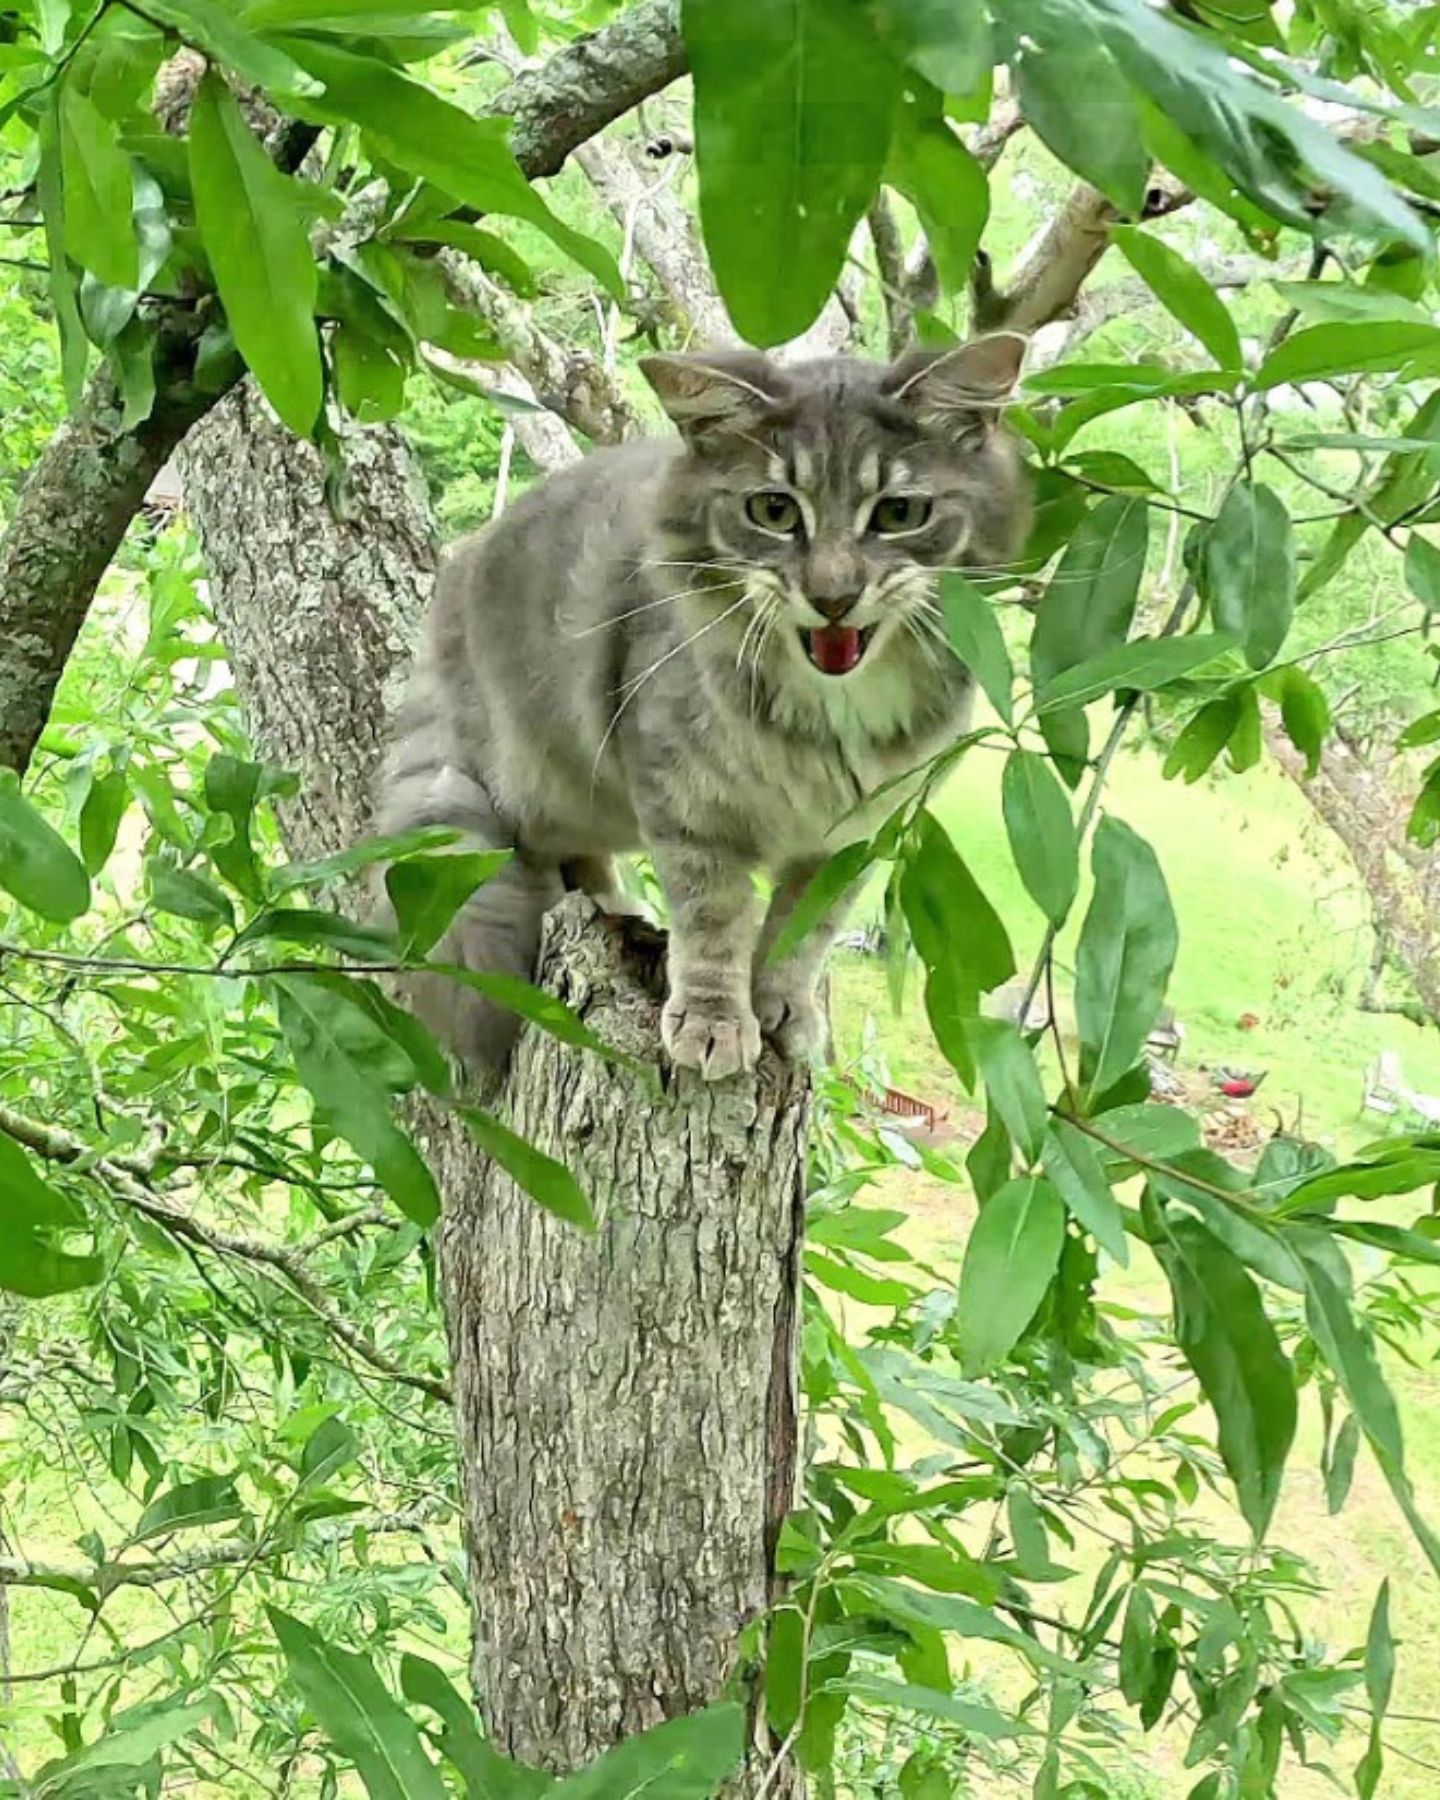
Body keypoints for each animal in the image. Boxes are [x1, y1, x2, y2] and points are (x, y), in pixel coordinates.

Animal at [374, 338, 1022, 1080]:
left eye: (898, 514)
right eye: (773, 511)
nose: (833, 597)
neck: (831, 714)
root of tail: (456, 576)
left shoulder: (854, 839)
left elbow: (803, 933)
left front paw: (785, 1011)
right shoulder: (690, 809)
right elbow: (716, 920)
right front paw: (714, 1022)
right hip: (534, 781)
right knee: (546, 857)